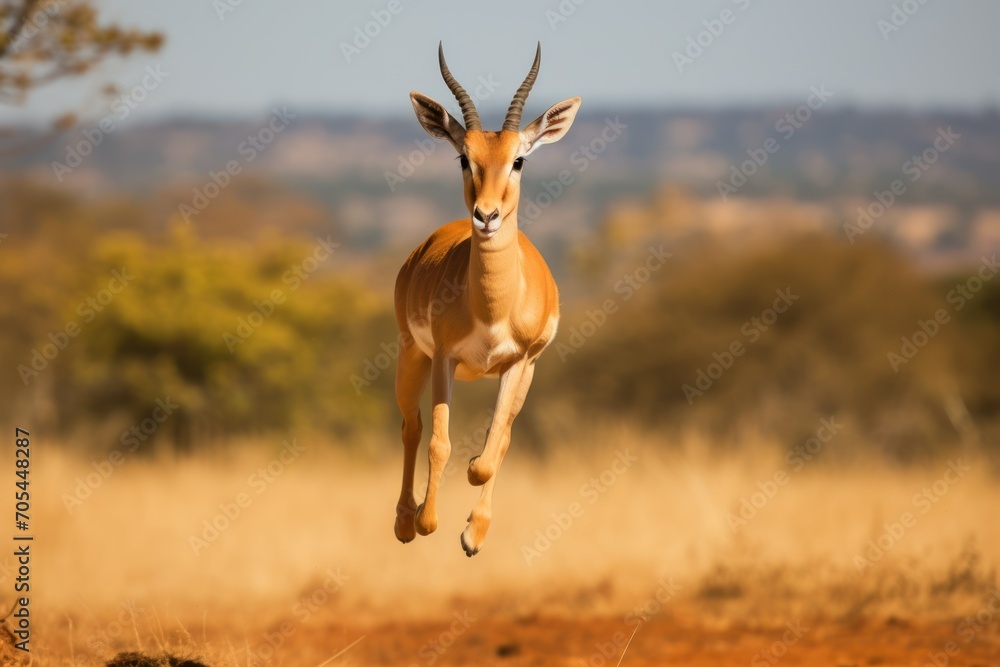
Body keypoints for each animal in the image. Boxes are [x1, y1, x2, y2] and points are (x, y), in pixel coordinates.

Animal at [393, 43, 580, 556]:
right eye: (464, 157)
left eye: (519, 160)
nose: (487, 215)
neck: (494, 308)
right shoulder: (444, 357)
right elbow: (439, 440)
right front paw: (428, 521)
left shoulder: (520, 363)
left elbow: (494, 448)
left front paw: (471, 531)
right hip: (411, 354)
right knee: (412, 427)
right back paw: (405, 522)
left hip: (518, 373)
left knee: (504, 435)